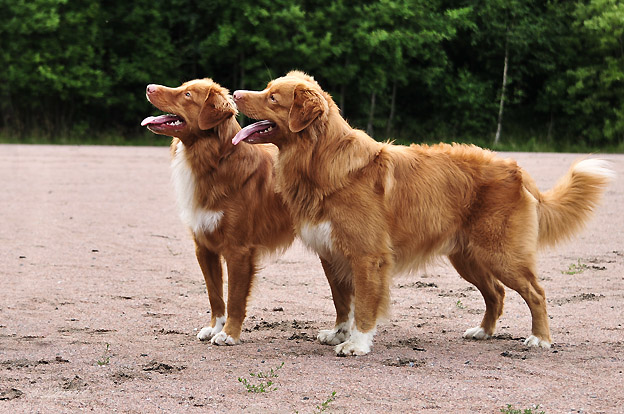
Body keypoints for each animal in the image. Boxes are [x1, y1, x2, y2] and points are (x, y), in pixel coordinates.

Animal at [144, 79, 294, 344]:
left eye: (187, 94)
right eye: (182, 86)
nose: (149, 87)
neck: (217, 162)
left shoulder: (238, 250)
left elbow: (234, 296)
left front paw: (229, 334)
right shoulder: (204, 246)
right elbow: (214, 294)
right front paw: (215, 327)